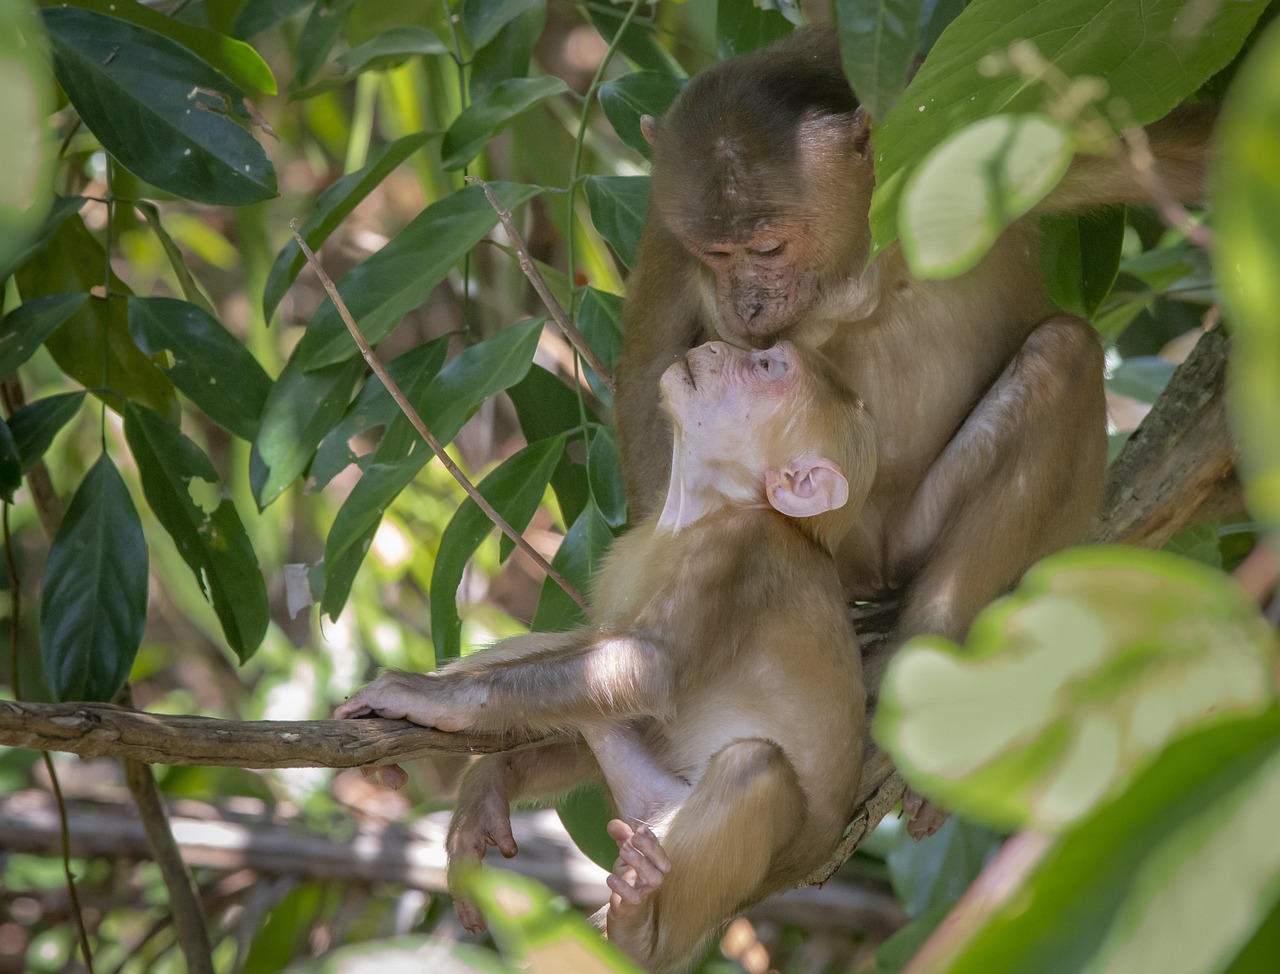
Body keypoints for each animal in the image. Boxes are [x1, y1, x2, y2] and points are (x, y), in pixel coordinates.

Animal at [340, 337, 880, 967]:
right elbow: (605, 675)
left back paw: (642, 935)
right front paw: (489, 777)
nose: (721, 344)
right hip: (648, 806)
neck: (703, 511)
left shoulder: (742, 550)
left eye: (768, 367)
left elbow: (648, 668)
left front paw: (425, 698)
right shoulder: (630, 550)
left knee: (753, 767)